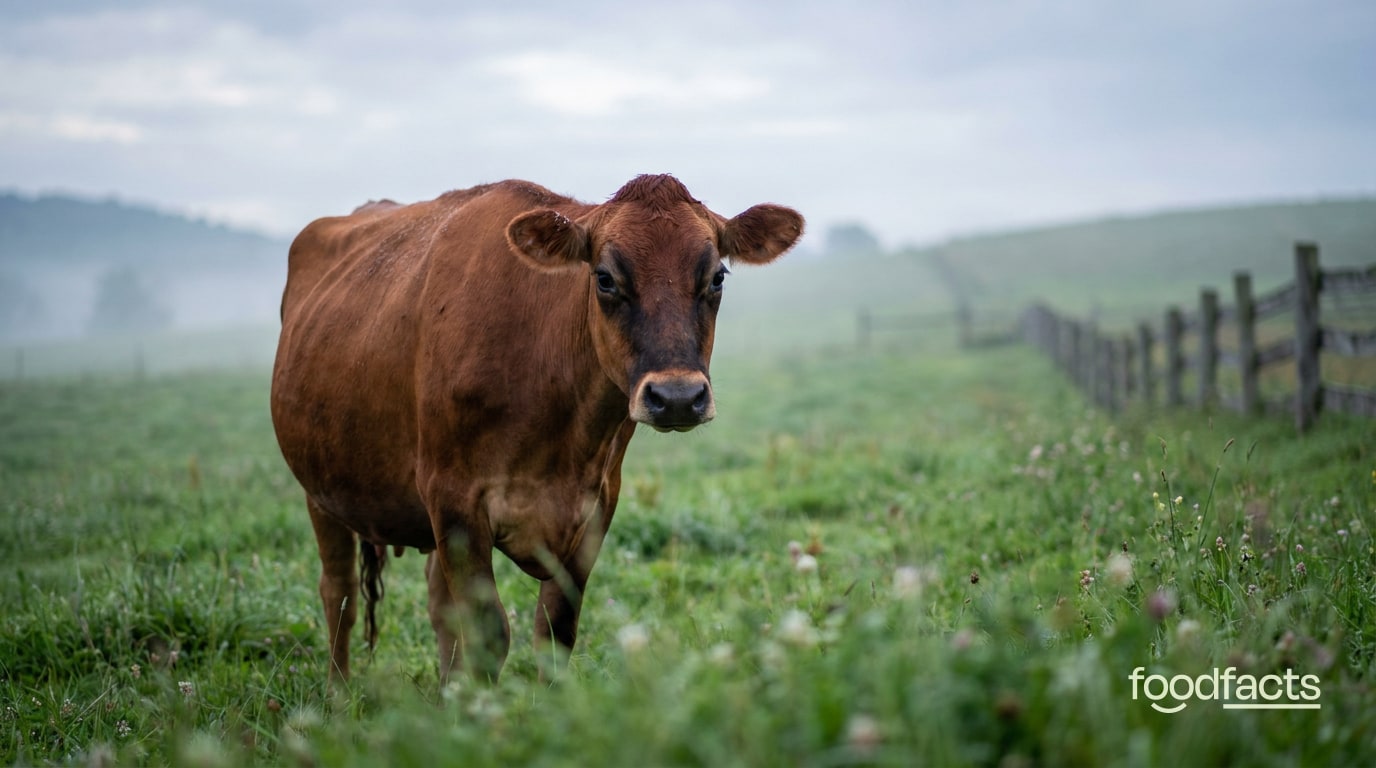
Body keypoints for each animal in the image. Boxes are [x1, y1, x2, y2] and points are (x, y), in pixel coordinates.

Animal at [270, 175, 803, 682]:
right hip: (322, 493)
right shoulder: (454, 499)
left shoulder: (594, 508)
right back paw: (339, 699)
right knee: (339, 597)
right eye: (604, 278)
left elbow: (553, 633)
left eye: (717, 277)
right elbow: (487, 634)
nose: (676, 397)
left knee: (438, 609)